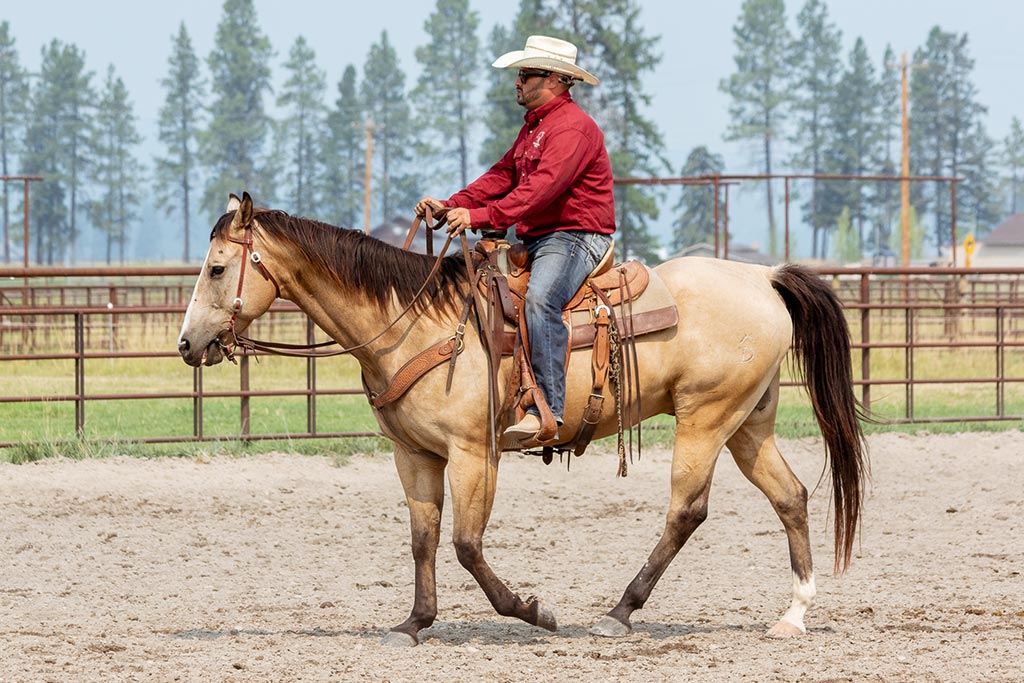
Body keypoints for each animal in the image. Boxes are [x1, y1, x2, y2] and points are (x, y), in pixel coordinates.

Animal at [176, 192, 864, 647]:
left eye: (216, 267)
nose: (187, 345)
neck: (416, 322)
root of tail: (765, 277)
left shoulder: (473, 452)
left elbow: (465, 544)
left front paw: (534, 612)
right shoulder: (413, 455)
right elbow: (424, 538)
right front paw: (414, 624)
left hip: (706, 418)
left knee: (686, 511)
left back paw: (618, 612)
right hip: (749, 423)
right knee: (791, 496)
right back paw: (792, 615)